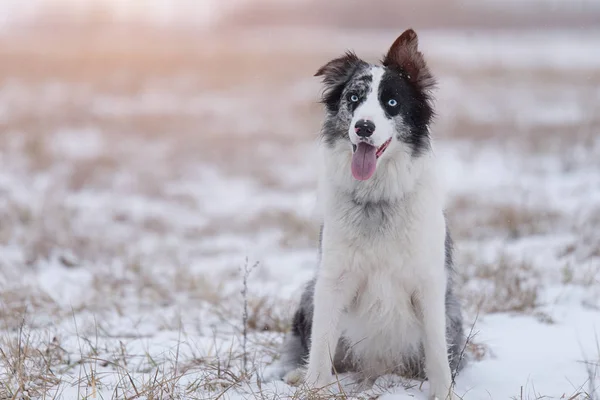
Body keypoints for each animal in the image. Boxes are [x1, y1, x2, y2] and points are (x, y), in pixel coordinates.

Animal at [264, 28, 466, 400]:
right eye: (354, 98)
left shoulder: (430, 284)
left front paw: (443, 392)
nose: (364, 128)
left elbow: (436, 350)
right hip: (310, 291)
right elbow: (321, 346)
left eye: (392, 103)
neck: (378, 199)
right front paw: (314, 388)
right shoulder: (332, 279)